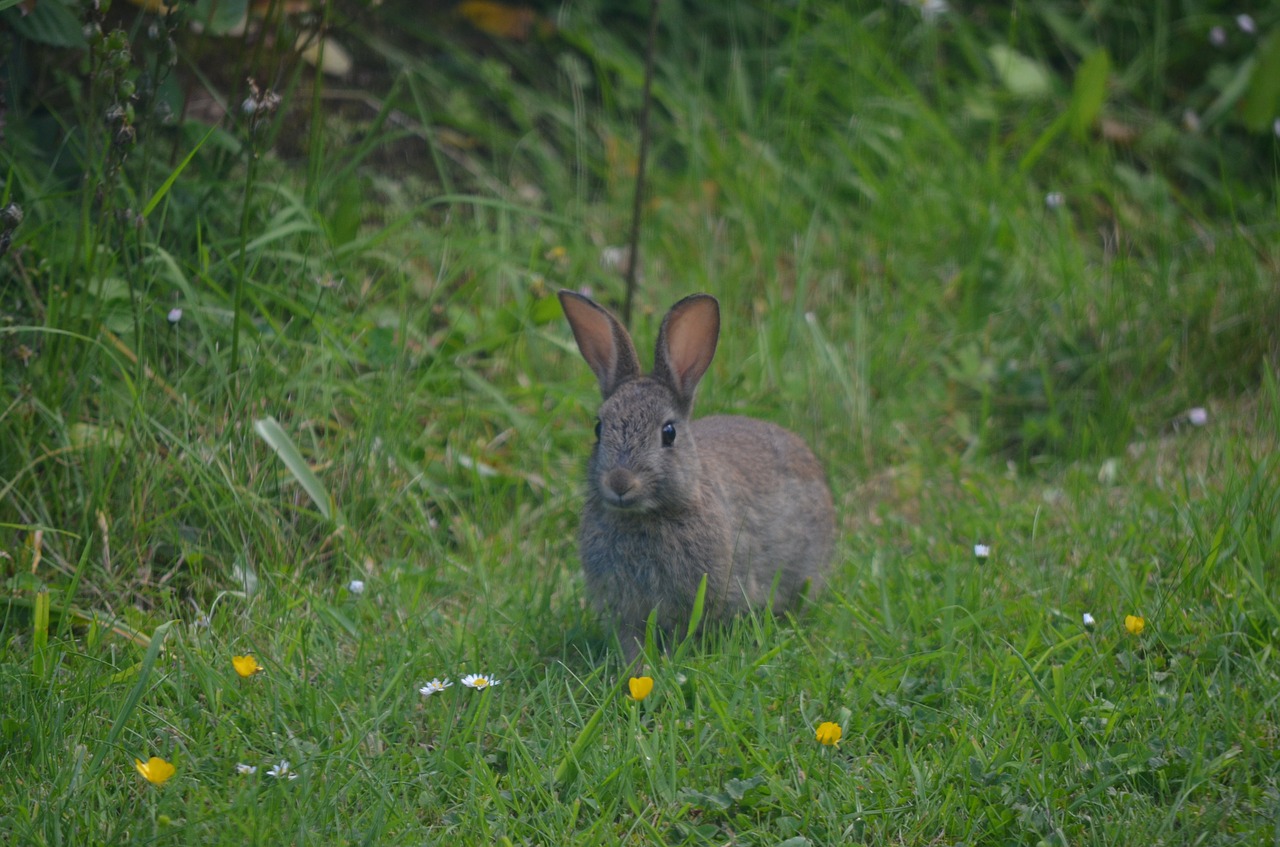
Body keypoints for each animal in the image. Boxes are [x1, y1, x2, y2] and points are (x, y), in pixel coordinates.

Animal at [555, 291, 834, 665]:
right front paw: (635, 668)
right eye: (599, 429)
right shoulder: (626, 610)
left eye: (669, 433)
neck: (648, 516)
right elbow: (631, 640)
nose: (620, 482)